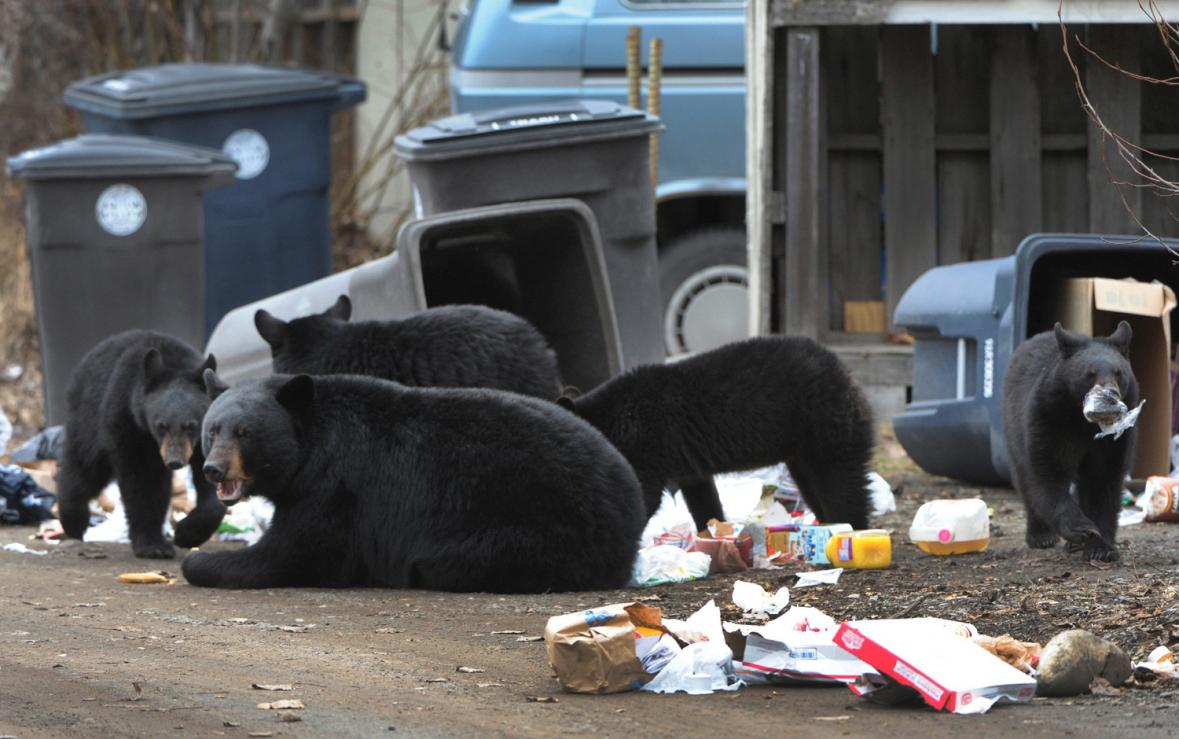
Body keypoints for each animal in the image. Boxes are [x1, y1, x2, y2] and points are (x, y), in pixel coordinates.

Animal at [56, 332, 224, 558]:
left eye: (192, 426)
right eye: (161, 425)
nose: (175, 462)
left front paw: (187, 534)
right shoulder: (128, 423)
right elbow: (140, 480)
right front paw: (153, 546)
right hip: (88, 417)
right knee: (86, 467)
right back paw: (74, 520)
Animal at [183, 372, 646, 591]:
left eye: (245, 432)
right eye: (212, 430)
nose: (213, 469)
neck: (310, 441)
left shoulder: (333, 487)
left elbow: (295, 552)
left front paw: (198, 560)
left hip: (538, 523)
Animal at [554, 334, 877, 532]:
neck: (614, 418)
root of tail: (848, 377)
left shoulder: (646, 443)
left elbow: (644, 493)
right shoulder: (683, 459)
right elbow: (701, 494)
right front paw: (711, 532)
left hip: (824, 424)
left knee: (841, 481)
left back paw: (850, 529)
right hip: (801, 449)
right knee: (812, 484)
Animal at [999, 320, 1136, 563]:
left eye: (1119, 372)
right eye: (1090, 373)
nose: (1110, 395)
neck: (1083, 421)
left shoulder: (1112, 441)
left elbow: (1103, 480)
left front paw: (1100, 548)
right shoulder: (1049, 418)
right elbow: (1048, 473)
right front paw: (1082, 528)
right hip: (1012, 428)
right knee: (1024, 479)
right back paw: (1041, 535)